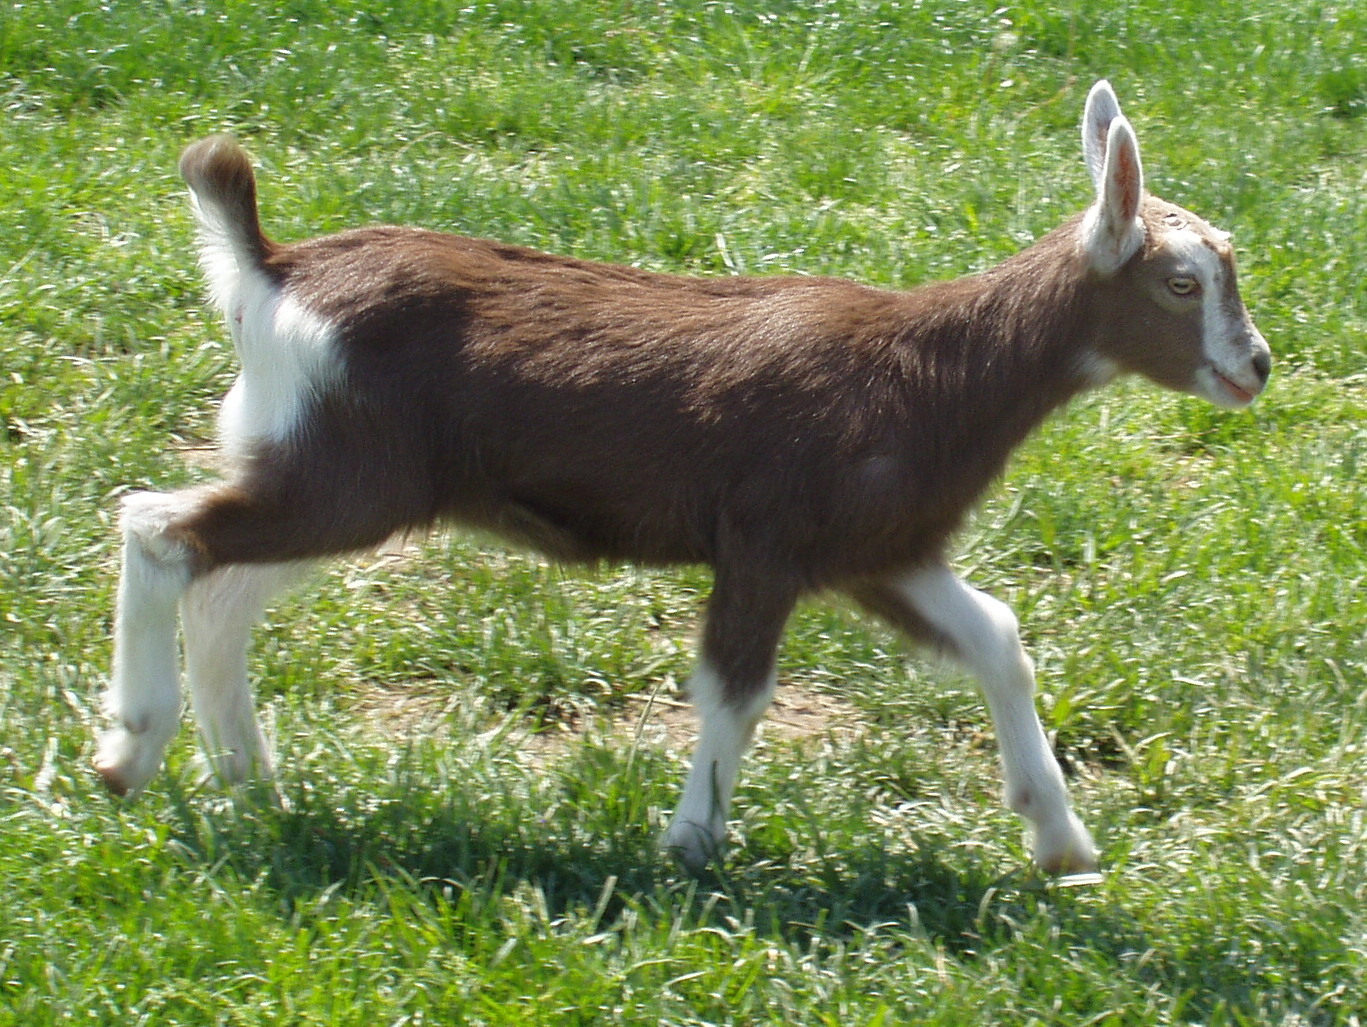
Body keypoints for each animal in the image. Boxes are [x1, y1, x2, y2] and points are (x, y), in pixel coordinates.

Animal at [98, 81, 1270, 874]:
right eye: (1180, 282)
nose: (1254, 365)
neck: (930, 369)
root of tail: (271, 269)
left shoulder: (878, 551)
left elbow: (996, 635)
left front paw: (1060, 840)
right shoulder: (764, 538)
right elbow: (734, 691)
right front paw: (691, 841)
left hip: (335, 472)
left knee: (222, 587)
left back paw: (247, 777)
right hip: (347, 474)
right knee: (159, 526)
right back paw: (129, 751)